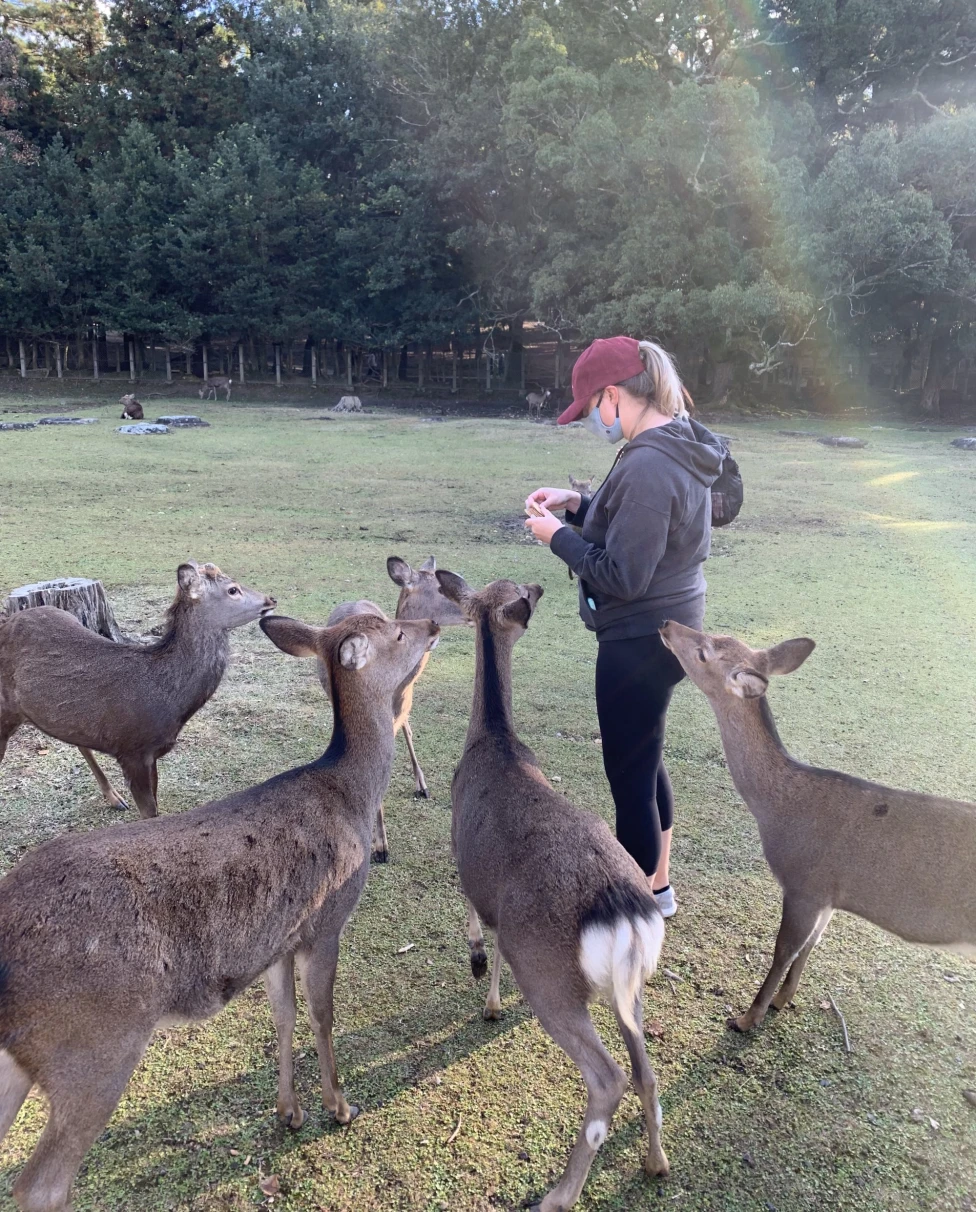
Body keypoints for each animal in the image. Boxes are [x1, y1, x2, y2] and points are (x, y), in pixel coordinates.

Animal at [0, 562, 275, 819]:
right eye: (233, 589)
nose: (271, 599)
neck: (170, 703)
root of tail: (8, 621)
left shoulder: (151, 755)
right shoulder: (131, 751)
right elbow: (149, 813)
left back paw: (114, 798)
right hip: (5, 707)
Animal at [0, 610, 440, 1212]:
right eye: (396, 632)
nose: (433, 624)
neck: (349, 793)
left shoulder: (277, 941)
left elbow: (283, 1017)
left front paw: (290, 1112)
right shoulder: (325, 922)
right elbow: (323, 1015)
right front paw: (339, 1107)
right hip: (93, 1045)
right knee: (39, 1185)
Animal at [436, 571, 669, 1211]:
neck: (492, 740)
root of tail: (626, 911)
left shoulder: (465, 859)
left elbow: (478, 923)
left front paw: (484, 988)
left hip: (550, 979)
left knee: (609, 1078)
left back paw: (559, 1194)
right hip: (630, 986)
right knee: (646, 1069)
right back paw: (656, 1162)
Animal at [659, 620, 976, 1033]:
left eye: (704, 653)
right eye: (714, 635)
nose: (666, 624)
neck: (778, 810)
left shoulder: (805, 883)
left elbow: (783, 949)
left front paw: (747, 1017)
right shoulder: (828, 895)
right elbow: (811, 944)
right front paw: (782, 1000)